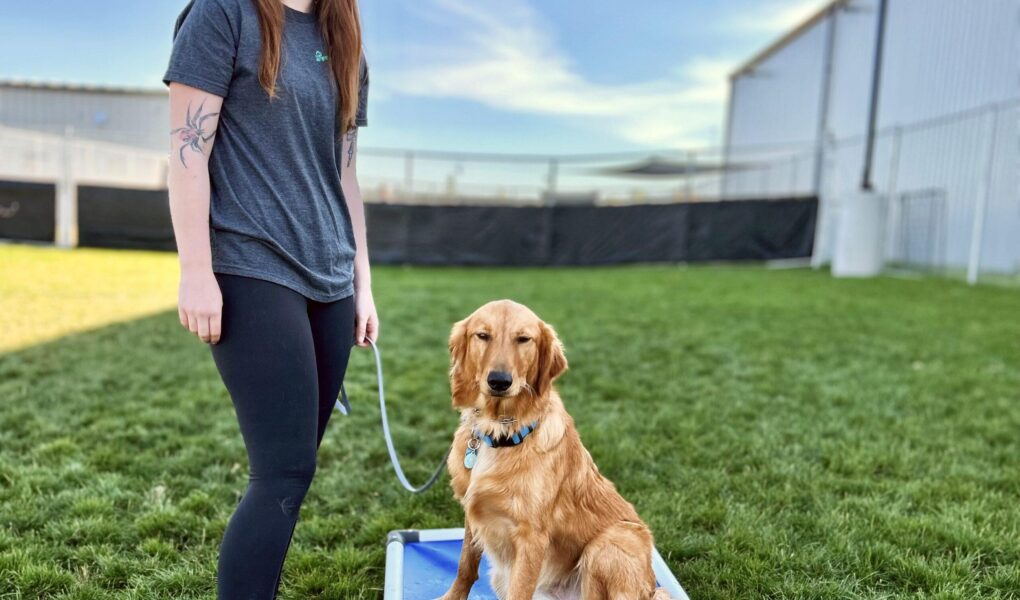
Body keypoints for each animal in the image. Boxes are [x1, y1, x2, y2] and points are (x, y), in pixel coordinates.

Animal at [438, 302, 669, 600]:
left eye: (523, 339)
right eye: (483, 336)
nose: (499, 381)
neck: (501, 430)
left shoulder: (532, 538)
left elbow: (518, 590)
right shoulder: (473, 512)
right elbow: (465, 565)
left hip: (611, 541)